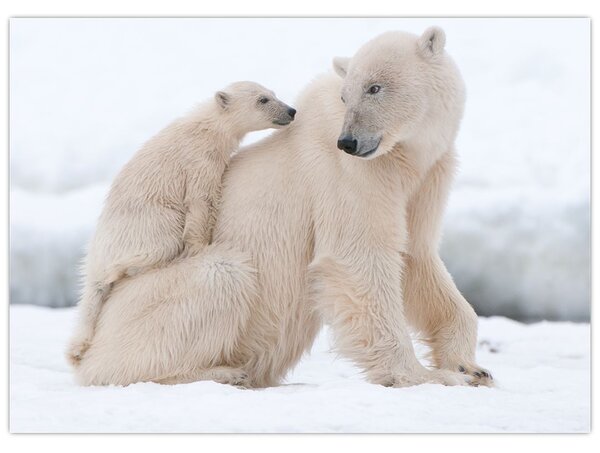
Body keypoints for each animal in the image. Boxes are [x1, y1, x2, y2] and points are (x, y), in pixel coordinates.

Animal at [65, 82, 296, 368]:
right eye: (263, 99)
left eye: (274, 94)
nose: (291, 110)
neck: (207, 127)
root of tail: (96, 257)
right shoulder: (199, 160)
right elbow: (200, 201)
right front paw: (200, 246)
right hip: (148, 224)